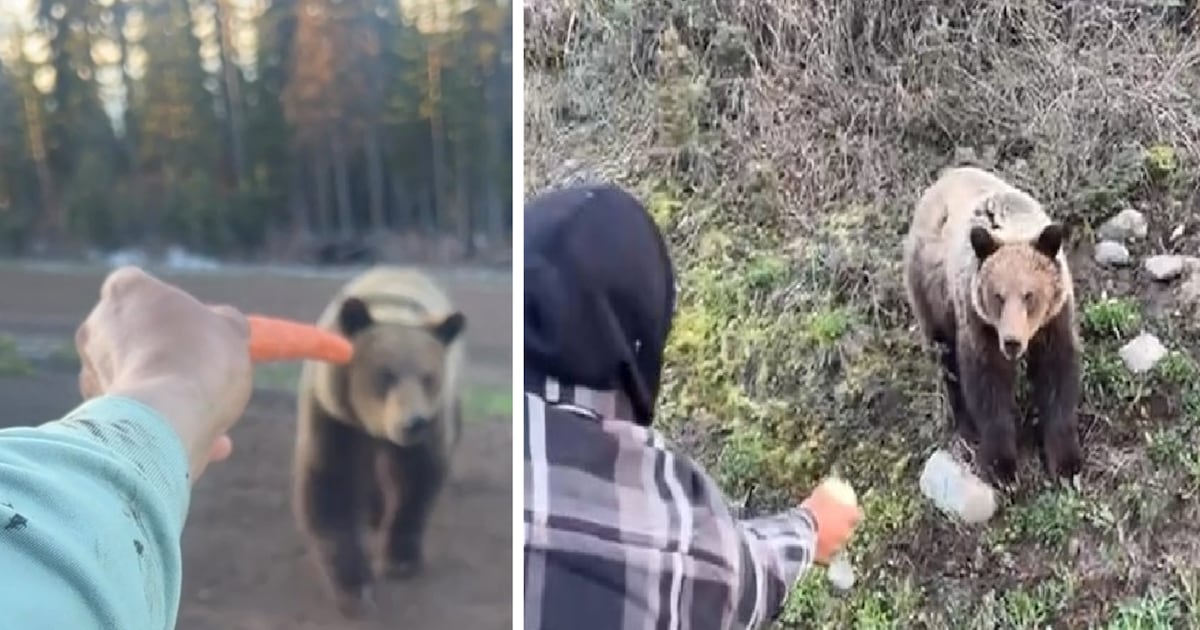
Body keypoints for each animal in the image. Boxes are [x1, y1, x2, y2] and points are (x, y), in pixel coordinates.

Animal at [292, 265, 466, 617]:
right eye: (385, 375)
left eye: (428, 378)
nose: (413, 423)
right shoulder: (332, 416)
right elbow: (332, 485)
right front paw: (355, 587)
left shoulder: (433, 420)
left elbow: (417, 479)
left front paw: (400, 560)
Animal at [902, 166, 1083, 486]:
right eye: (998, 296)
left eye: (1029, 295)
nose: (1011, 341)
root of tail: (940, 181)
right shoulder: (979, 324)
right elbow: (987, 385)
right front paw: (1002, 467)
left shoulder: (1054, 321)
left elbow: (1057, 378)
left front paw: (1066, 464)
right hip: (931, 291)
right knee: (946, 358)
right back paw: (963, 422)